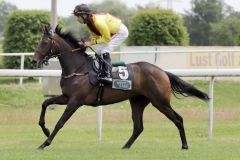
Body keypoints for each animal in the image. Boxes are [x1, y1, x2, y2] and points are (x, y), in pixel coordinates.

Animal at [31, 26, 208, 150]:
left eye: (44, 42)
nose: (33, 61)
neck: (79, 69)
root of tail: (162, 71)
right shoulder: (66, 97)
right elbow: (45, 103)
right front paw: (45, 130)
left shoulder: (75, 101)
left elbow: (60, 122)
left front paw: (44, 143)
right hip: (138, 101)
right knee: (138, 127)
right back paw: (125, 146)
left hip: (160, 102)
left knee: (178, 119)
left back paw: (185, 145)